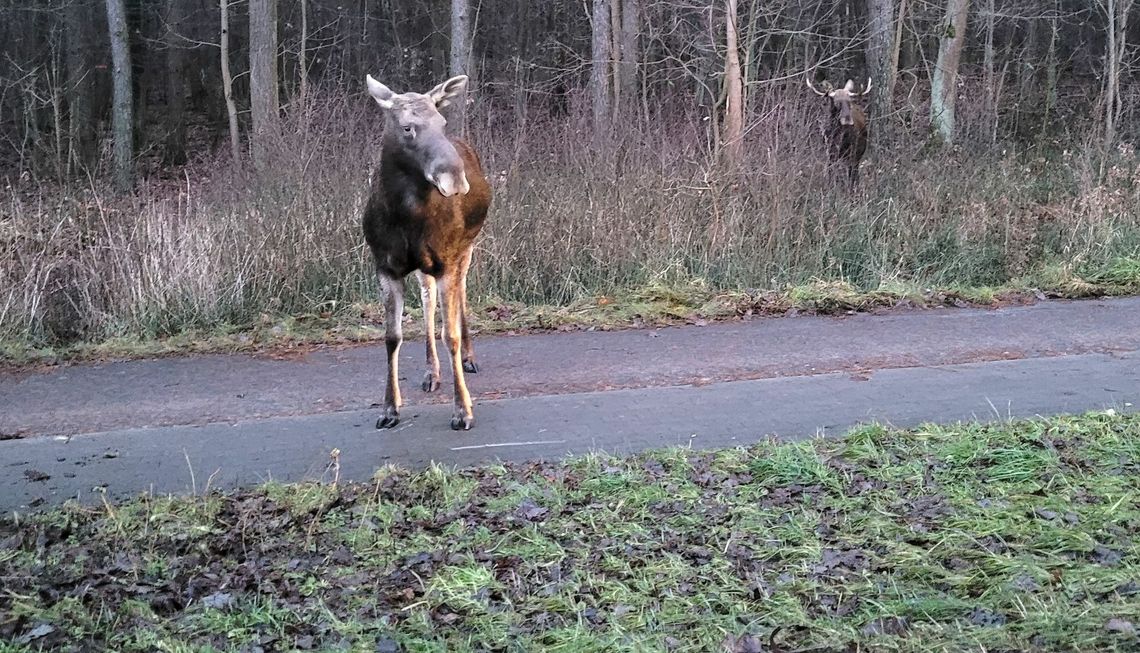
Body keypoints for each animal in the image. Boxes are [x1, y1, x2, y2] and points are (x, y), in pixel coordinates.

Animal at [362, 74, 492, 430]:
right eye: (407, 127)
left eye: (441, 122)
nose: (455, 178)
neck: (405, 218)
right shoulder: (385, 267)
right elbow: (392, 336)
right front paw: (389, 408)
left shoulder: (447, 260)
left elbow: (451, 335)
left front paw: (463, 410)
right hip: (425, 266)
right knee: (428, 300)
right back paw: (431, 372)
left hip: (466, 248)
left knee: (462, 293)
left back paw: (470, 358)